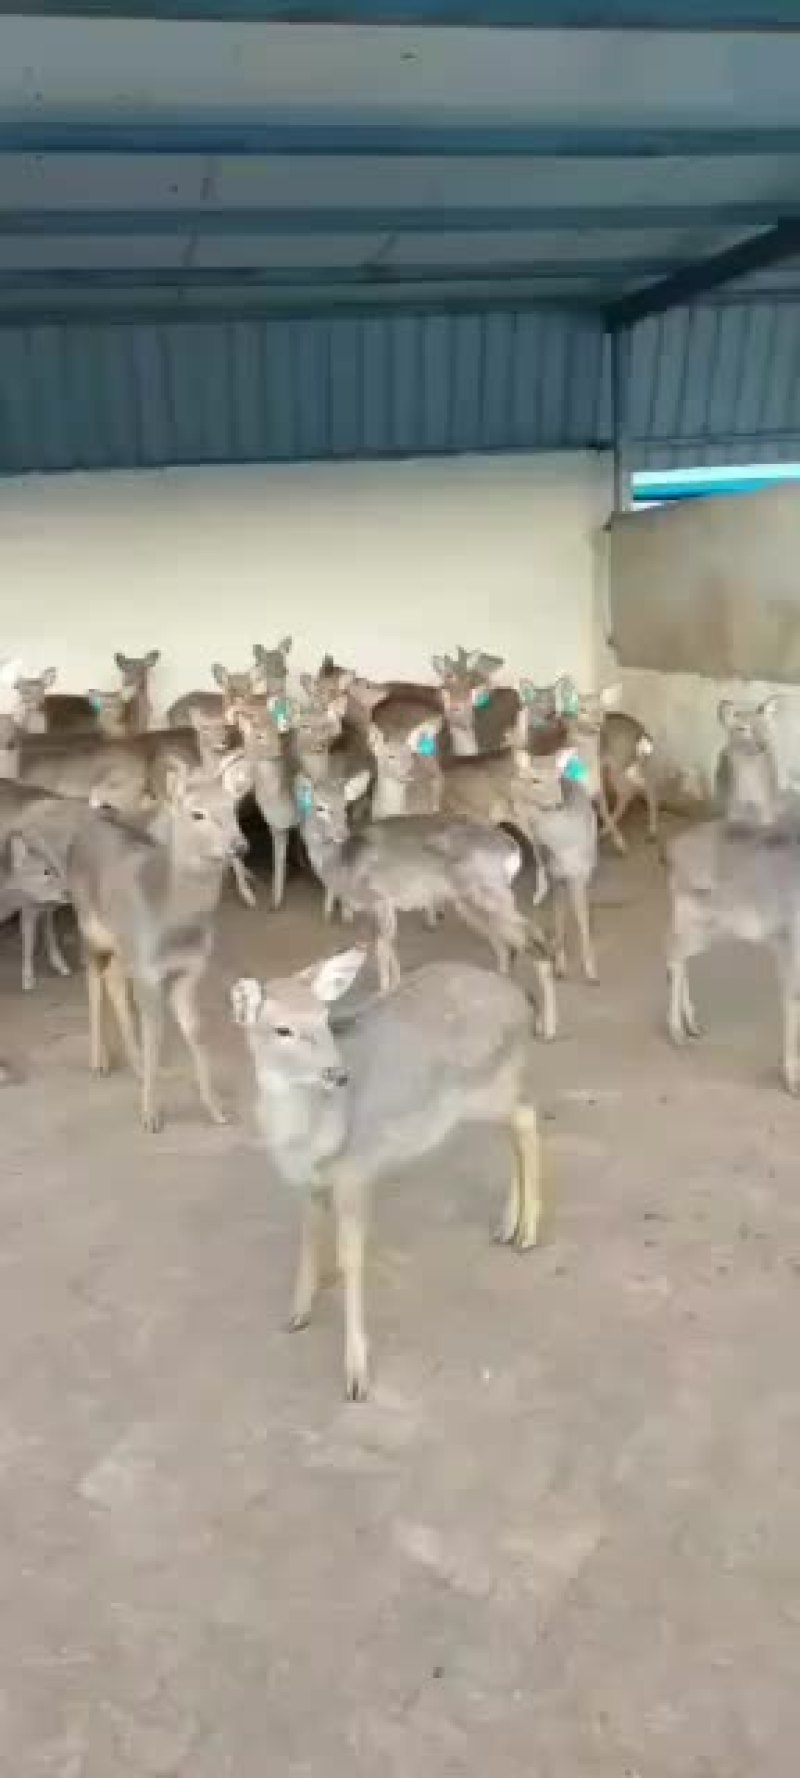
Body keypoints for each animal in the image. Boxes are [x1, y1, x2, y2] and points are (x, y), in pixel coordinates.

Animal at [67, 763, 246, 1131]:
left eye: (233, 809)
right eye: (197, 813)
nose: (240, 846)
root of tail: (95, 815)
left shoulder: (190, 969)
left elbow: (195, 1030)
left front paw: (217, 1109)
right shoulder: (148, 972)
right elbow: (156, 1034)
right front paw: (151, 1115)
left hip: (124, 946)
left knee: (112, 978)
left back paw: (134, 1065)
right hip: (88, 922)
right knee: (92, 975)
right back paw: (99, 1059)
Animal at [232, 947, 544, 1400]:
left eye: (324, 1017)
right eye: (282, 1029)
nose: (338, 1074)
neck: (307, 1139)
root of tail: (522, 1000)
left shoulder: (356, 1169)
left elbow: (352, 1259)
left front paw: (357, 1377)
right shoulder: (307, 1184)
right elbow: (308, 1242)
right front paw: (297, 1314)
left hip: (487, 1085)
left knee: (527, 1118)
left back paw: (529, 1233)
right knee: (515, 1128)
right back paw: (508, 1227)